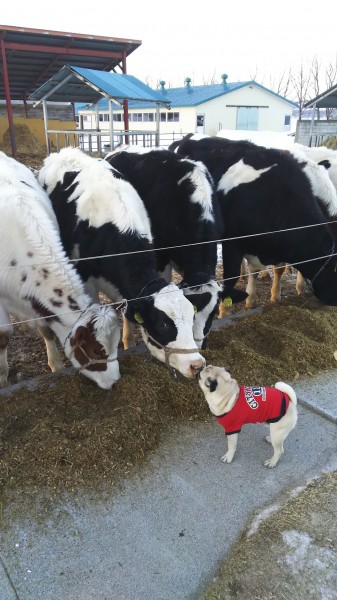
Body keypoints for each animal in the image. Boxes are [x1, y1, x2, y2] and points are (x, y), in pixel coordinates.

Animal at [0, 150, 121, 390]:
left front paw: (55, 364)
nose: (114, 382)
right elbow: (4, 334)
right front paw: (2, 376)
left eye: (115, 346)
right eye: (97, 351)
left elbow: (46, 328)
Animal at [38, 148, 203, 378]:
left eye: (191, 315)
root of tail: (63, 152)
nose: (197, 365)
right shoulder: (86, 281)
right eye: (163, 324)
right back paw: (54, 364)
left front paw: (129, 343)